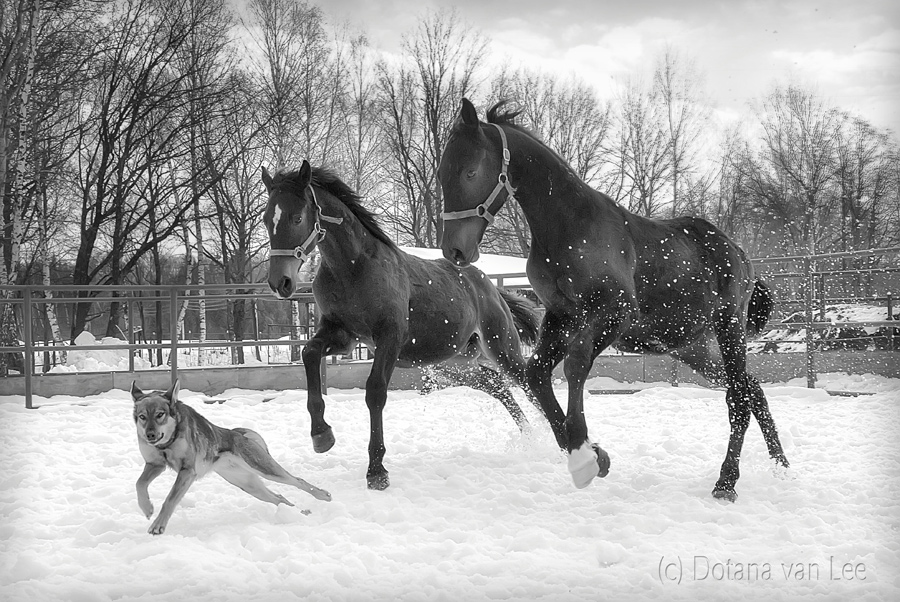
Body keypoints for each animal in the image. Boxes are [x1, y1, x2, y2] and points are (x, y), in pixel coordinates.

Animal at [132, 378, 332, 532]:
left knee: (298, 481)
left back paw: (322, 495)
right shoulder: (154, 464)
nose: (150, 435)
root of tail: (240, 434)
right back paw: (299, 514)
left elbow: (170, 499)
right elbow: (139, 484)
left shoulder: (187, 471)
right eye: (142, 417)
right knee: (279, 498)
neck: (167, 443)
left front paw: (158, 525)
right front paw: (146, 507)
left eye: (160, 414)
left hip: (263, 468)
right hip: (247, 484)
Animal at [260, 162, 540, 490]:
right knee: (496, 385)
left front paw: (376, 471)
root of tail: (490, 287)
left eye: (297, 217)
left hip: (500, 348)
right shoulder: (343, 335)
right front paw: (322, 435)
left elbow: (375, 392)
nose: (280, 283)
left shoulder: (389, 337)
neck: (352, 269)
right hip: (453, 364)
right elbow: (308, 353)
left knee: (527, 383)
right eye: (266, 219)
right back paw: (529, 437)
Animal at [438, 99, 788, 502]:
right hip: (692, 346)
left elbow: (575, 366)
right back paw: (781, 467)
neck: (569, 226)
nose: (455, 250)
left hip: (729, 327)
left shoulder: (612, 314)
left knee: (739, 399)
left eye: (470, 171)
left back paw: (727, 482)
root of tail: (739, 253)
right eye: (442, 173)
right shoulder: (561, 316)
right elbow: (537, 373)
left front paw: (584, 454)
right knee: (753, 390)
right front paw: (586, 451)